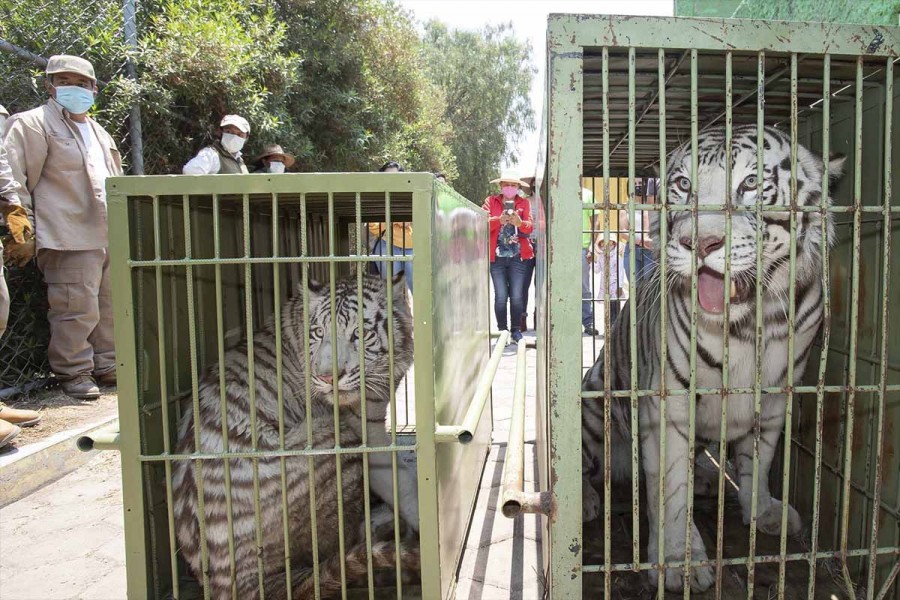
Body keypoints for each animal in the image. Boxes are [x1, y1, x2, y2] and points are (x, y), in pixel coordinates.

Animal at [584, 124, 844, 592]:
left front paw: (762, 511)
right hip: (596, 403)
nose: (699, 243)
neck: (752, 323)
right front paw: (677, 560)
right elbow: (670, 490)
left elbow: (759, 461)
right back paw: (587, 500)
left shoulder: (774, 398)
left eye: (751, 183)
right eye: (683, 185)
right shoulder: (667, 405)